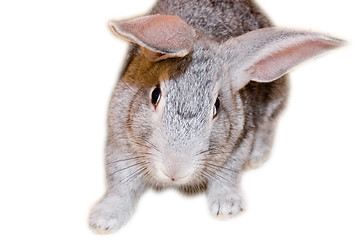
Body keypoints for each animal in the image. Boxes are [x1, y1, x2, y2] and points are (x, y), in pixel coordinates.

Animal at [88, 0, 344, 232]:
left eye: (216, 107)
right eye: (155, 94)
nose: (175, 171)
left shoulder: (238, 145)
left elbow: (227, 177)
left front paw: (227, 206)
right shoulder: (119, 145)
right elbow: (121, 186)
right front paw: (103, 220)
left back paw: (257, 157)